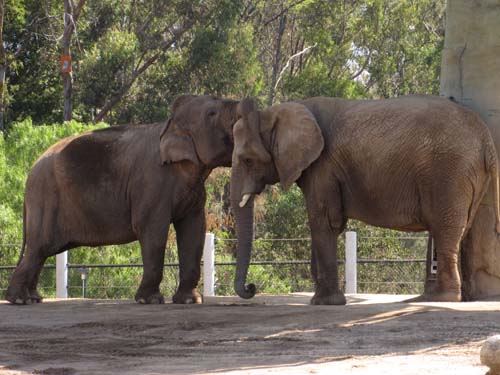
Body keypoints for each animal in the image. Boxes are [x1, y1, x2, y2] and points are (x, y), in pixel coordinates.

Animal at [5, 94, 252, 306]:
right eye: (212, 113)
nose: (251, 287)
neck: (168, 124)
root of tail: (30, 172)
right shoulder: (151, 184)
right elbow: (152, 231)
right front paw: (149, 301)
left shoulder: (194, 191)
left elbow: (194, 231)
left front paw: (190, 301)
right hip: (45, 199)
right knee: (40, 247)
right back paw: (20, 300)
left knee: (42, 251)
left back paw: (32, 298)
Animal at [229, 95, 500, 304]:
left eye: (248, 160)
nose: (252, 288)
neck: (277, 111)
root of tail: (486, 139)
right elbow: (327, 224)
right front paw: (320, 299)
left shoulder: (323, 166)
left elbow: (324, 221)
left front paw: (325, 303)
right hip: (467, 176)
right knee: (460, 229)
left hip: (449, 172)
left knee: (445, 230)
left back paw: (439, 299)